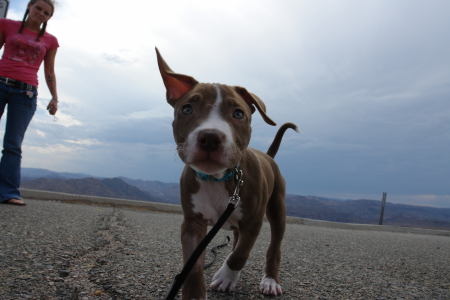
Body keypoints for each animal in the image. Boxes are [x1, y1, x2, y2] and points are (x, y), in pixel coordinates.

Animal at [156, 48, 298, 298]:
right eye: (187, 109)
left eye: (238, 114)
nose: (210, 137)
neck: (216, 178)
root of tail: (268, 156)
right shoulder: (192, 224)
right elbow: (193, 267)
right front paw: (195, 294)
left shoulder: (254, 220)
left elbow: (241, 254)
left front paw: (225, 276)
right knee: (237, 240)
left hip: (277, 207)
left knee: (273, 246)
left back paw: (270, 280)